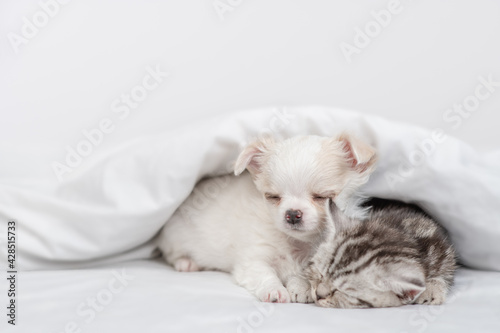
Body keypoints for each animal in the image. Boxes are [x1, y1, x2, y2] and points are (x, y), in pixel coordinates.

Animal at [158, 134, 376, 302]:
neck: (298, 243)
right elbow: (265, 274)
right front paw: (274, 291)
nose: (292, 213)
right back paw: (186, 262)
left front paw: (302, 287)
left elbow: (300, 275)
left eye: (322, 197)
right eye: (273, 197)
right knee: (172, 254)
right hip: (175, 235)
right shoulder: (253, 259)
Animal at [304, 197, 458, 308]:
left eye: (343, 292)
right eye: (320, 274)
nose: (318, 295)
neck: (407, 234)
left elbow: (446, 270)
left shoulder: (442, 248)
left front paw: (432, 288)